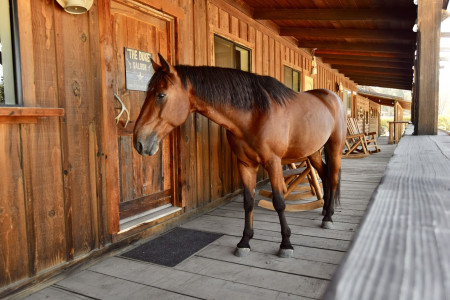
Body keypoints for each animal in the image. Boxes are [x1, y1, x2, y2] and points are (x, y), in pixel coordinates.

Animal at [132, 54, 346, 258]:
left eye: (161, 95)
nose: (139, 142)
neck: (255, 114)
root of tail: (332, 97)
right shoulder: (245, 164)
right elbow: (248, 202)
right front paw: (245, 242)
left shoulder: (273, 163)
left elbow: (279, 202)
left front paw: (286, 244)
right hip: (313, 152)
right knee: (325, 176)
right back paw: (325, 211)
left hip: (334, 148)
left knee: (333, 178)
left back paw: (328, 217)